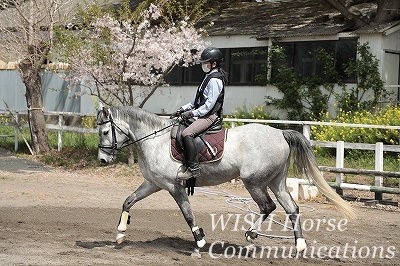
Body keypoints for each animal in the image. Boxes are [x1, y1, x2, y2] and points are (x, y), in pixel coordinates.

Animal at [97, 105, 356, 256]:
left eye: (105, 132)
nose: (102, 159)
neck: (155, 140)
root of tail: (280, 133)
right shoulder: (154, 184)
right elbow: (128, 201)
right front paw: (120, 233)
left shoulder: (173, 186)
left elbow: (187, 214)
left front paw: (200, 242)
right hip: (276, 181)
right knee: (291, 208)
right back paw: (299, 246)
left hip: (254, 182)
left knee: (267, 206)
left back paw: (251, 236)